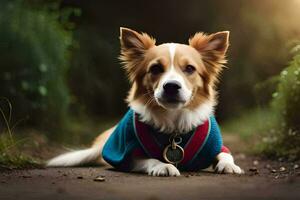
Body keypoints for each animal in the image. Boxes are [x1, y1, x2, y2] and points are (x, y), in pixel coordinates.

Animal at [47, 27, 244, 177]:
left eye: (190, 68)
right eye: (155, 68)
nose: (171, 86)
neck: (173, 126)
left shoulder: (217, 146)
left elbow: (225, 155)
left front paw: (229, 165)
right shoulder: (126, 156)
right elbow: (150, 159)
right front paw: (163, 166)